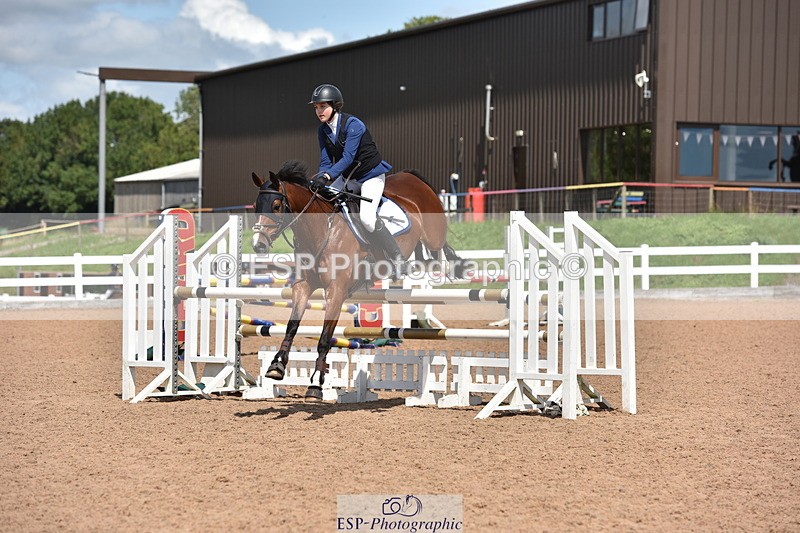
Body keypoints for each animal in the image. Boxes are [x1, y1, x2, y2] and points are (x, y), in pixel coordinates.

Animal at [250, 160, 464, 400]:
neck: (321, 230)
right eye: (256, 206)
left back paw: (446, 264)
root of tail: (411, 177)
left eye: (277, 205)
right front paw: (276, 367)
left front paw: (316, 384)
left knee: (439, 247)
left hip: (434, 235)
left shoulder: (336, 292)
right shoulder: (303, 287)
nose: (258, 245)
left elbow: (325, 338)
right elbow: (291, 326)